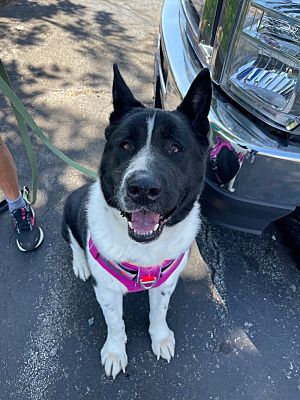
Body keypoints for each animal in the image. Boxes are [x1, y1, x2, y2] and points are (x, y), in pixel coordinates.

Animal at [61, 65, 211, 378]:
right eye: (125, 145)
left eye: (175, 148)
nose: (142, 188)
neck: (143, 248)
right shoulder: (106, 290)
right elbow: (116, 323)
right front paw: (115, 352)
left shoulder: (165, 284)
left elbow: (159, 312)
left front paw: (160, 337)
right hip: (68, 208)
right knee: (73, 242)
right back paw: (81, 264)